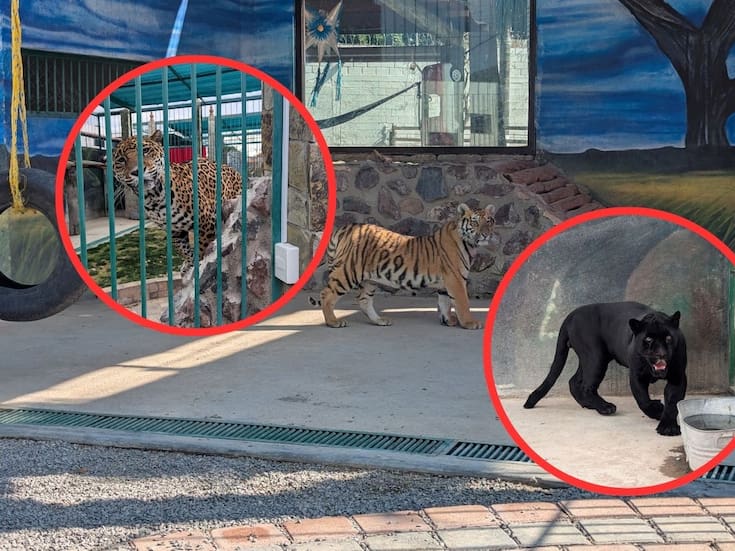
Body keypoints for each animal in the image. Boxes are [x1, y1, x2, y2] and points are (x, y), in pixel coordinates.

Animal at [313, 203, 495, 329]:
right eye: (475, 222)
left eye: (489, 221)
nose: (486, 234)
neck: (469, 243)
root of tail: (344, 228)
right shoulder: (456, 279)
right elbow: (462, 303)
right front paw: (469, 323)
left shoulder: (446, 283)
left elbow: (445, 303)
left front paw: (448, 321)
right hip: (347, 273)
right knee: (326, 295)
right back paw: (333, 322)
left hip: (369, 280)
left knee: (363, 300)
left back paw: (380, 320)